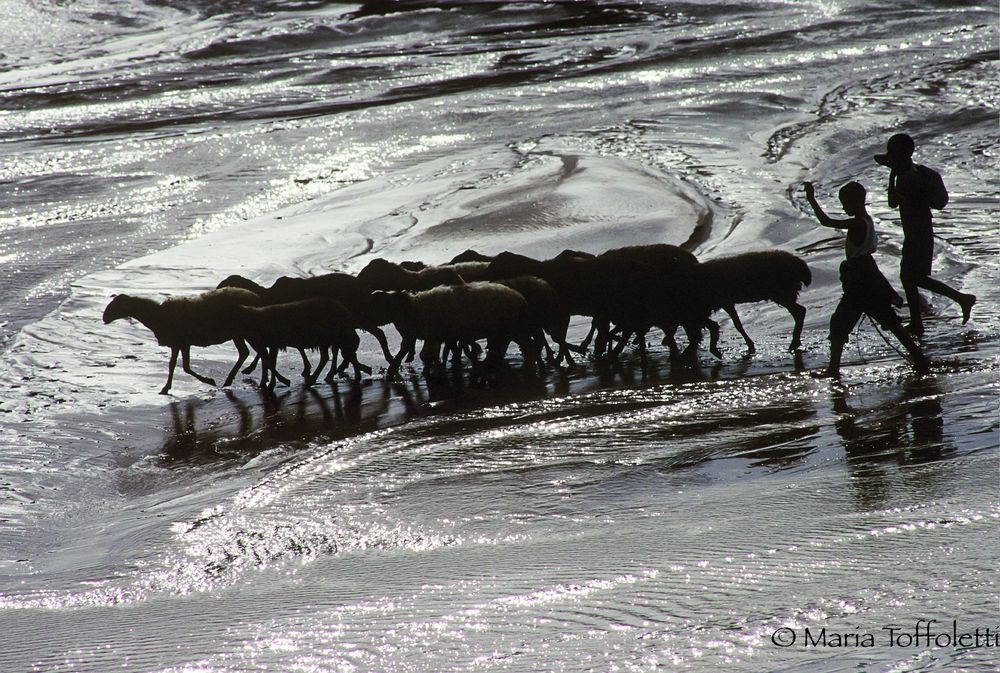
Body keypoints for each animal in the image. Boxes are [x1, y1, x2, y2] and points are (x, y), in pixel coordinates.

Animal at [103, 284, 264, 394]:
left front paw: (209, 381)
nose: (104, 318)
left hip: (247, 331)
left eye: (116, 305)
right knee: (246, 353)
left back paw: (258, 379)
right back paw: (233, 378)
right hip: (239, 334)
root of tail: (257, 298)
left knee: (261, 352)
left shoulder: (182, 343)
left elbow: (185, 367)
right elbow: (174, 365)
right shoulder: (177, 344)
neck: (157, 315)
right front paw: (166, 388)